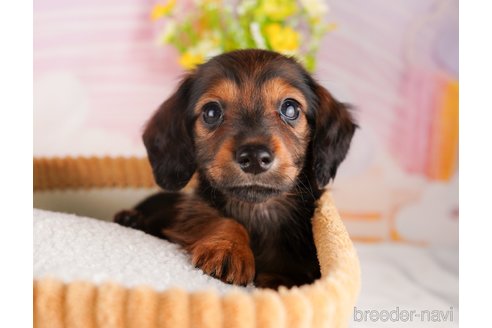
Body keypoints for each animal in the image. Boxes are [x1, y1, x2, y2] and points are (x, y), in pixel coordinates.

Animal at [114, 49, 356, 290]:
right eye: (211, 112)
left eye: (290, 108)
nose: (255, 157)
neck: (258, 211)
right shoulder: (196, 211)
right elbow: (219, 218)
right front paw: (228, 249)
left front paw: (282, 279)